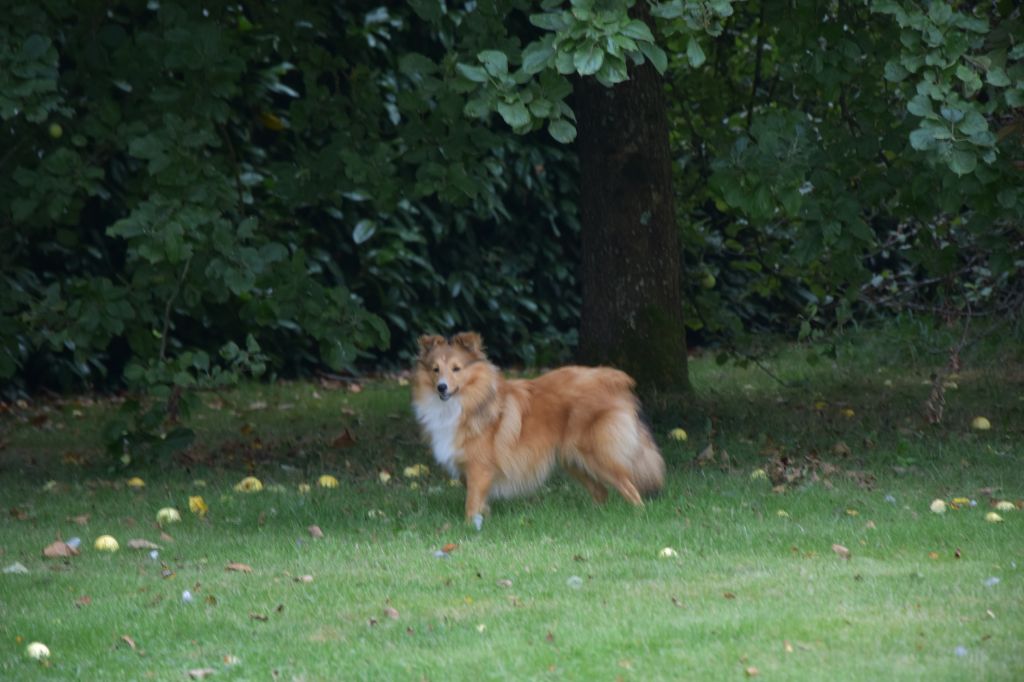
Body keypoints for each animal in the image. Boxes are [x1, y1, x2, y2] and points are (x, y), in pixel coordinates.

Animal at [411, 331, 667, 528]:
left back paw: (638, 516)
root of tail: (614, 379)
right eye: (435, 369)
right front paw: (481, 523)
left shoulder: (479, 469)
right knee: (601, 492)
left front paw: (467, 528)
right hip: (574, 460)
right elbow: (479, 503)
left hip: (597, 455)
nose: (442, 387)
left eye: (456, 369)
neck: (465, 402)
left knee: (632, 491)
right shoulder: (470, 473)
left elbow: (471, 503)